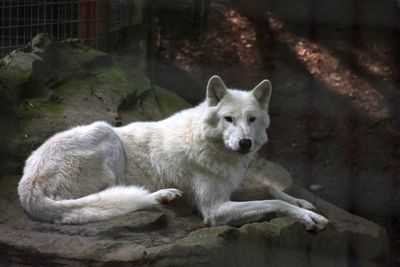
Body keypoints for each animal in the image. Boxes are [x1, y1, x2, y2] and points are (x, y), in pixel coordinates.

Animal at [17, 76, 328, 231]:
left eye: (251, 119)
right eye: (228, 119)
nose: (245, 143)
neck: (210, 146)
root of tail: (28, 184)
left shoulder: (231, 186)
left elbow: (271, 190)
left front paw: (303, 202)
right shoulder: (215, 210)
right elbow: (273, 202)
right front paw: (307, 217)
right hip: (106, 133)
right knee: (113, 199)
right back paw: (161, 196)